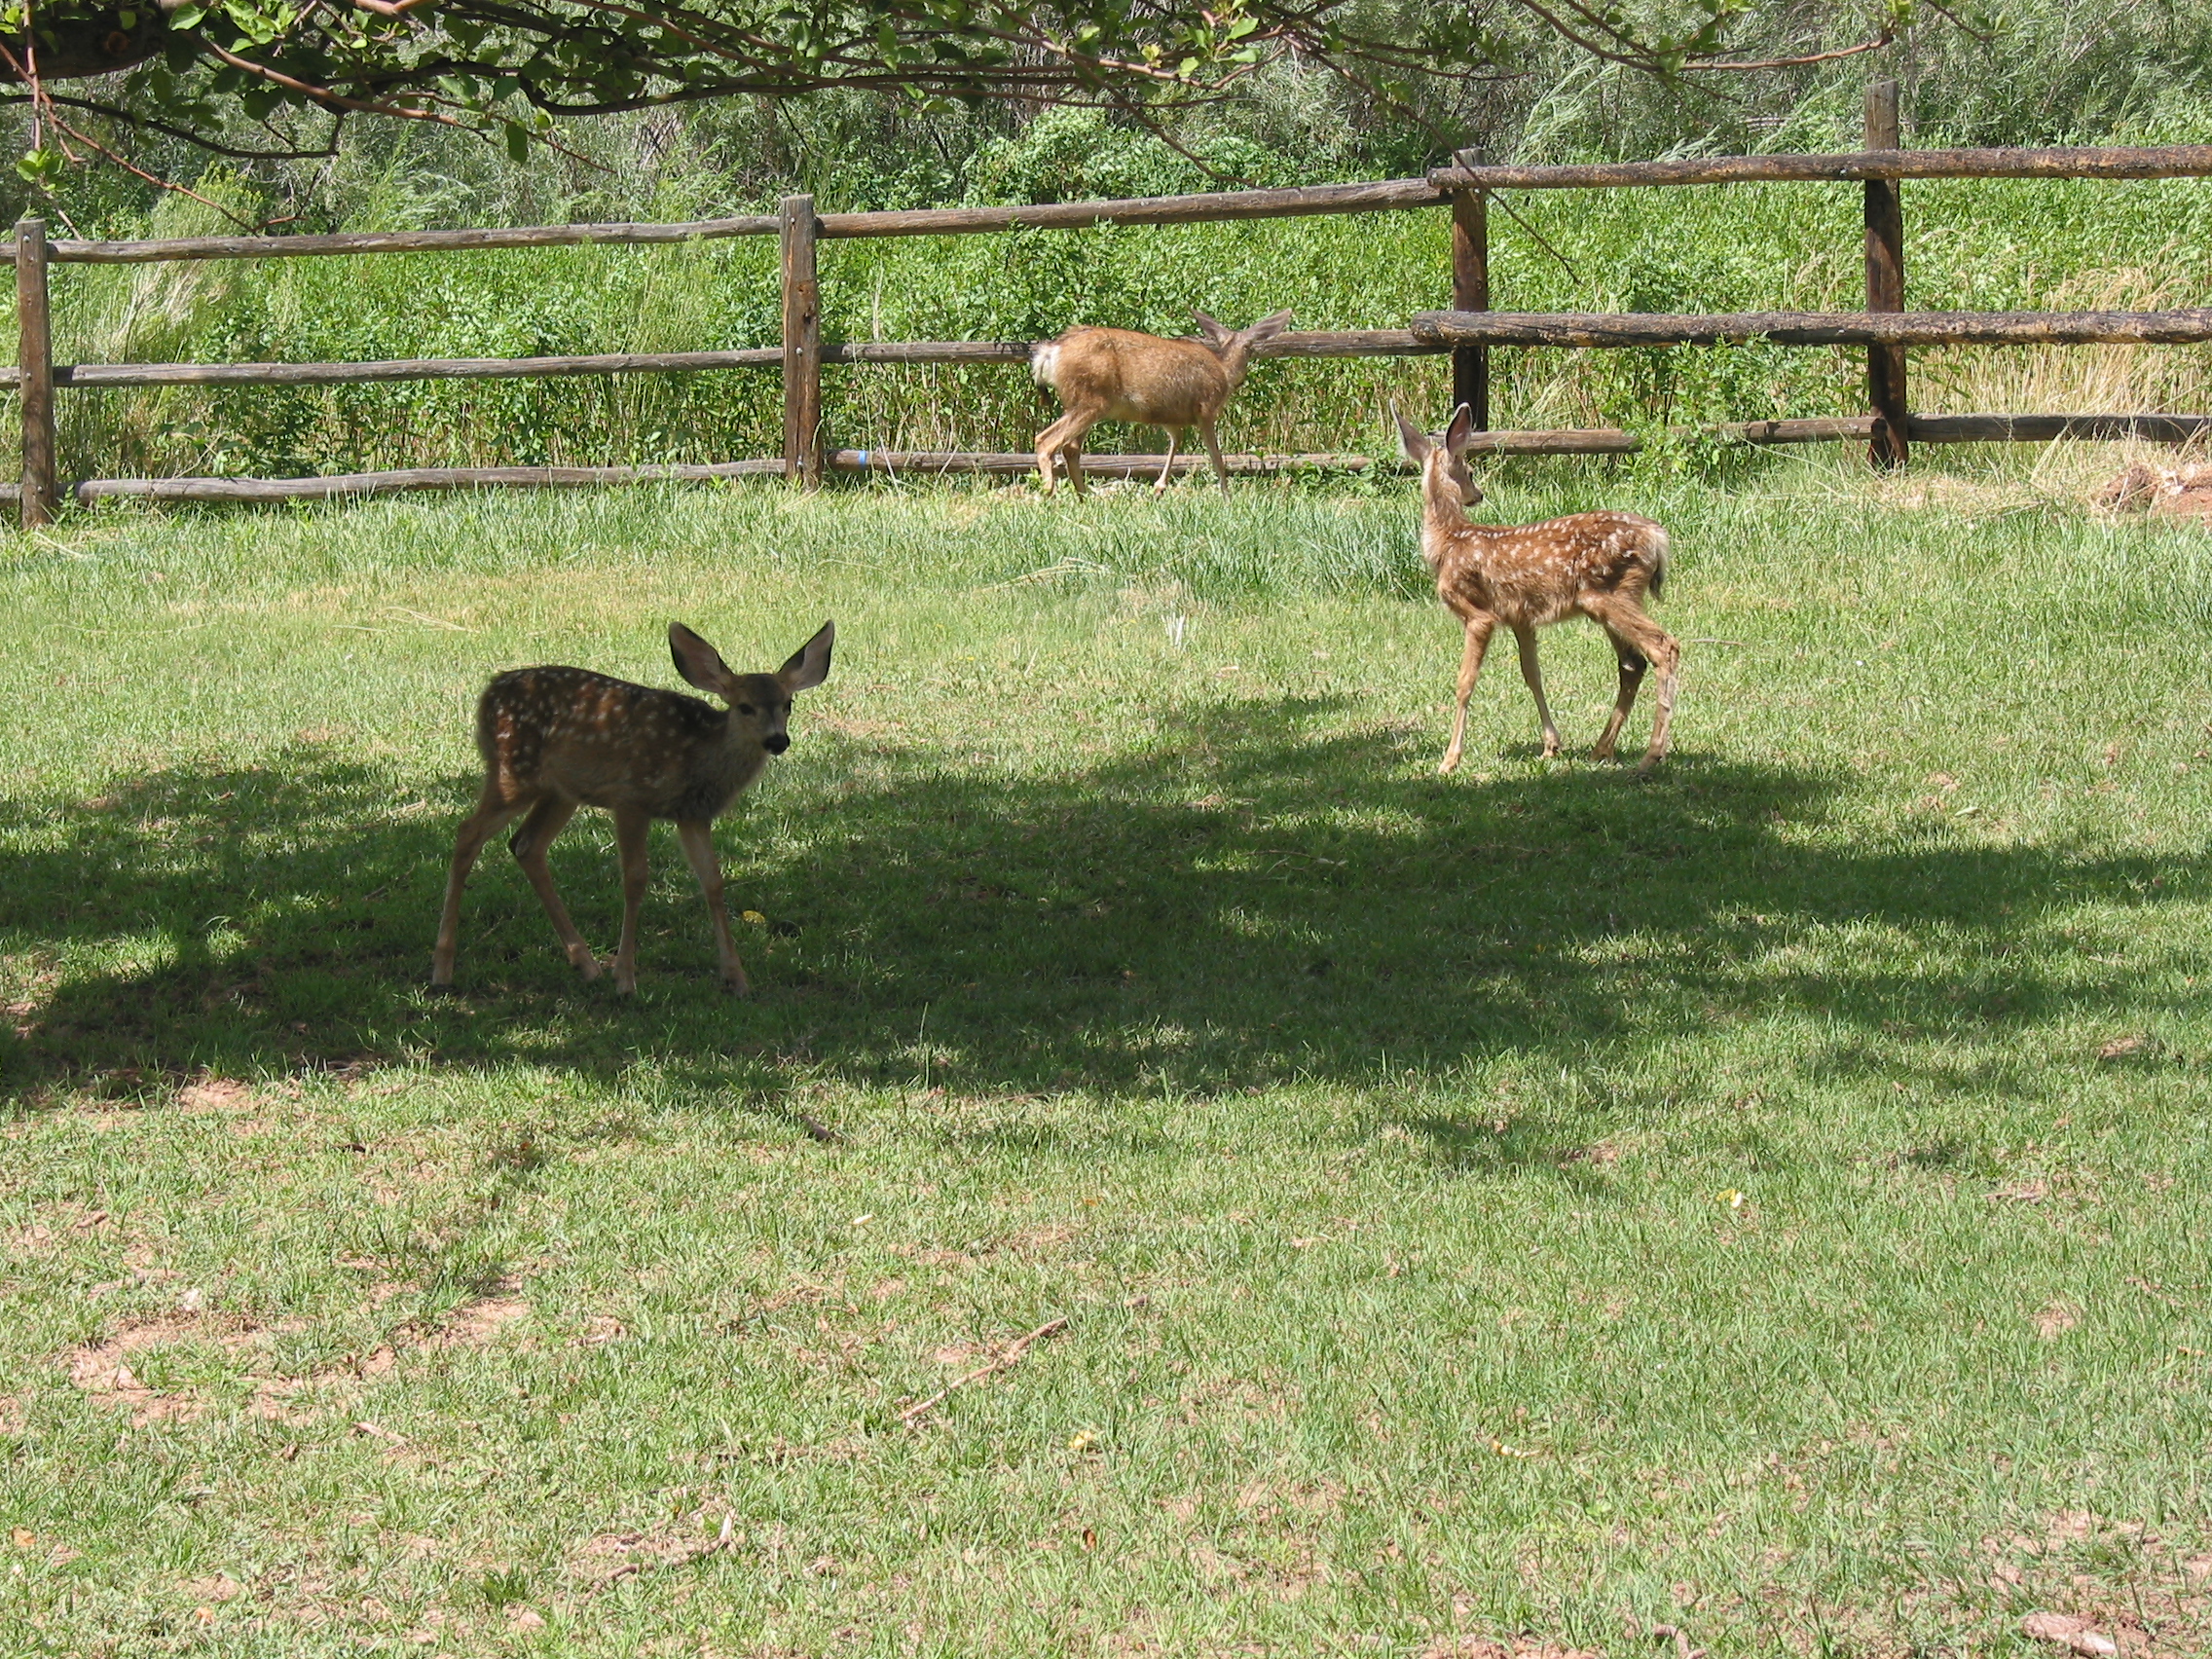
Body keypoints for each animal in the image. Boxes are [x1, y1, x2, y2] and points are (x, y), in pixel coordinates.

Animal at [435, 619, 831, 995]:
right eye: (744, 707)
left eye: (788, 704)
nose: (777, 740)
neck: (699, 757)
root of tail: (488, 693)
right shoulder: (631, 798)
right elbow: (636, 878)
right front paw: (625, 979)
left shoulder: (692, 815)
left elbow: (713, 882)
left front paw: (737, 978)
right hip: (514, 770)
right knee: (468, 833)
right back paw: (443, 969)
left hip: (561, 791)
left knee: (526, 845)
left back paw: (586, 965)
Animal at [1030, 310, 1291, 493]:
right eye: (1251, 349)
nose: (1241, 380)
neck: (1223, 370)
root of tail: (1050, 352)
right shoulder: (1206, 409)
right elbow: (1217, 458)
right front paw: (1227, 497)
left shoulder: (1170, 417)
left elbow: (1176, 443)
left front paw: (1158, 489)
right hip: (1092, 400)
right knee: (1046, 440)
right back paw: (1048, 492)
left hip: (1082, 402)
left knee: (1070, 448)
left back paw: (1084, 497)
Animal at [1388, 407, 1680, 778]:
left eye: (1469, 470)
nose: (1478, 494)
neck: (1450, 541)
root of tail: (1658, 538)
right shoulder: (1521, 617)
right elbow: (1532, 674)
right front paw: (1551, 745)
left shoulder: (1479, 614)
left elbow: (1465, 682)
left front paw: (1450, 759)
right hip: (1611, 600)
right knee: (1632, 663)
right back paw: (1602, 749)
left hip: (1611, 593)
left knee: (1663, 647)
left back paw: (1651, 755)